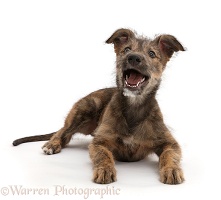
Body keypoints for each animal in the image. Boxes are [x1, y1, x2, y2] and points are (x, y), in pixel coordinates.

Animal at [12, 28, 185, 184]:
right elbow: (103, 155)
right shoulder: (99, 142)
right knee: (63, 131)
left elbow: (170, 154)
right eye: (127, 49)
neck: (133, 107)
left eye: (152, 54)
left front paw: (172, 169)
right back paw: (52, 144)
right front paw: (105, 170)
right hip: (86, 107)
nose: (133, 58)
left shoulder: (170, 143)